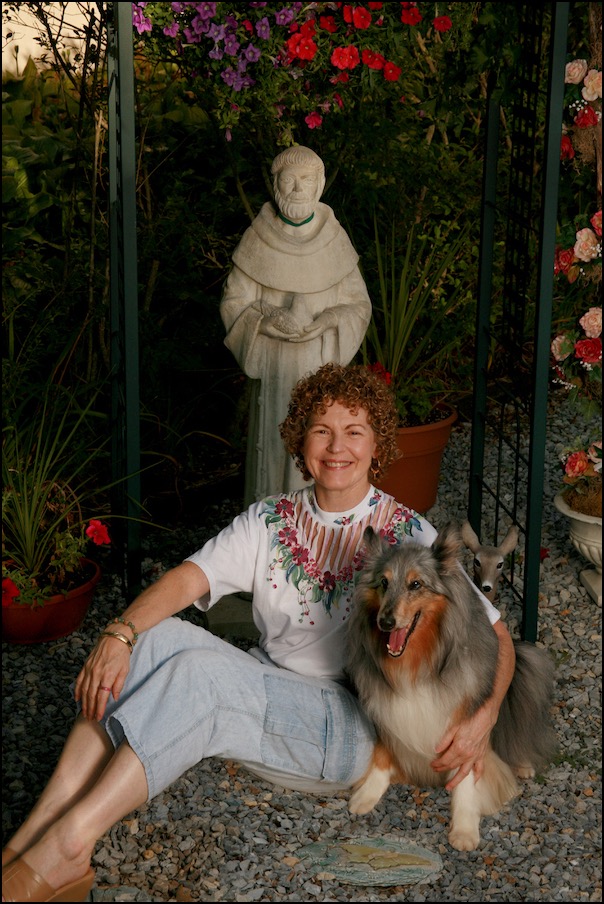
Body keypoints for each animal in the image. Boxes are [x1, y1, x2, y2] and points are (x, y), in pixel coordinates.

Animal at [344, 528, 556, 852]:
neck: (419, 663)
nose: (385, 622)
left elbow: (466, 775)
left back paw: (522, 765)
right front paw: (367, 795)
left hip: (524, 667)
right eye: (384, 582)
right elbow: (382, 754)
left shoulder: (465, 724)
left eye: (416, 584)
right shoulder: (383, 708)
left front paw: (465, 829)